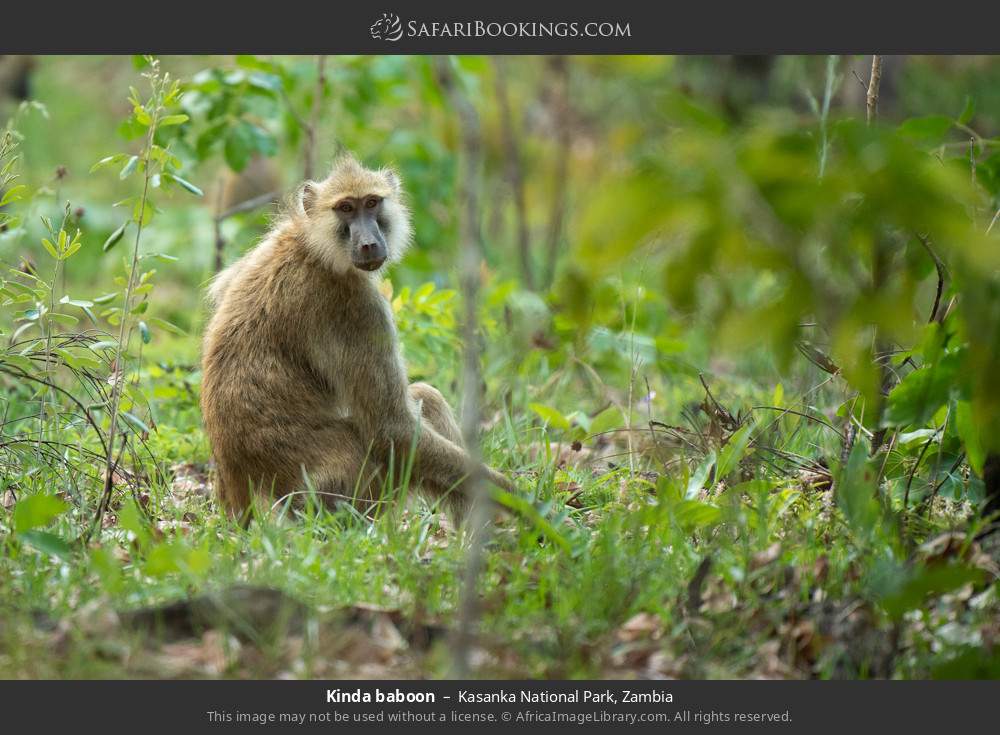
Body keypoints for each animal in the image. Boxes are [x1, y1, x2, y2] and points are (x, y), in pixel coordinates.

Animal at [201, 154, 514, 521]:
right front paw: (527, 503)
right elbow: (393, 431)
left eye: (372, 203)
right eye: (346, 208)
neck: (313, 246)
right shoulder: (357, 308)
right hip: (345, 498)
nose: (368, 243)